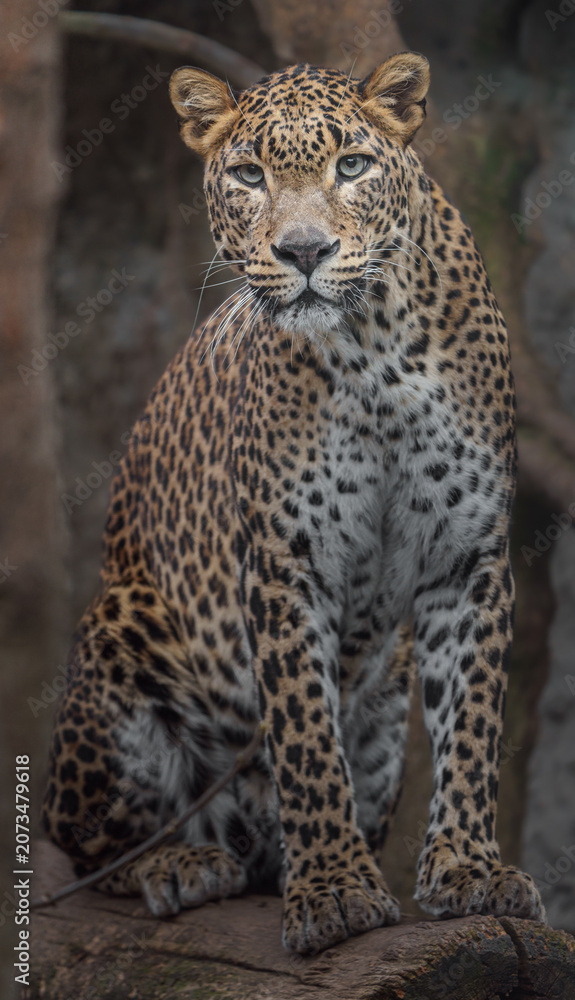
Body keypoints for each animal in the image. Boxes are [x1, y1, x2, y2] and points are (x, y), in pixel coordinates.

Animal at [41, 52, 545, 954]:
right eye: (249, 175)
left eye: (351, 165)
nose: (304, 249)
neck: (375, 348)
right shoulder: (285, 558)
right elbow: (305, 733)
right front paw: (336, 889)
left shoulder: (467, 552)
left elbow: (472, 723)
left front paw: (469, 871)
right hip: (118, 631)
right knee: (86, 847)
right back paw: (183, 863)